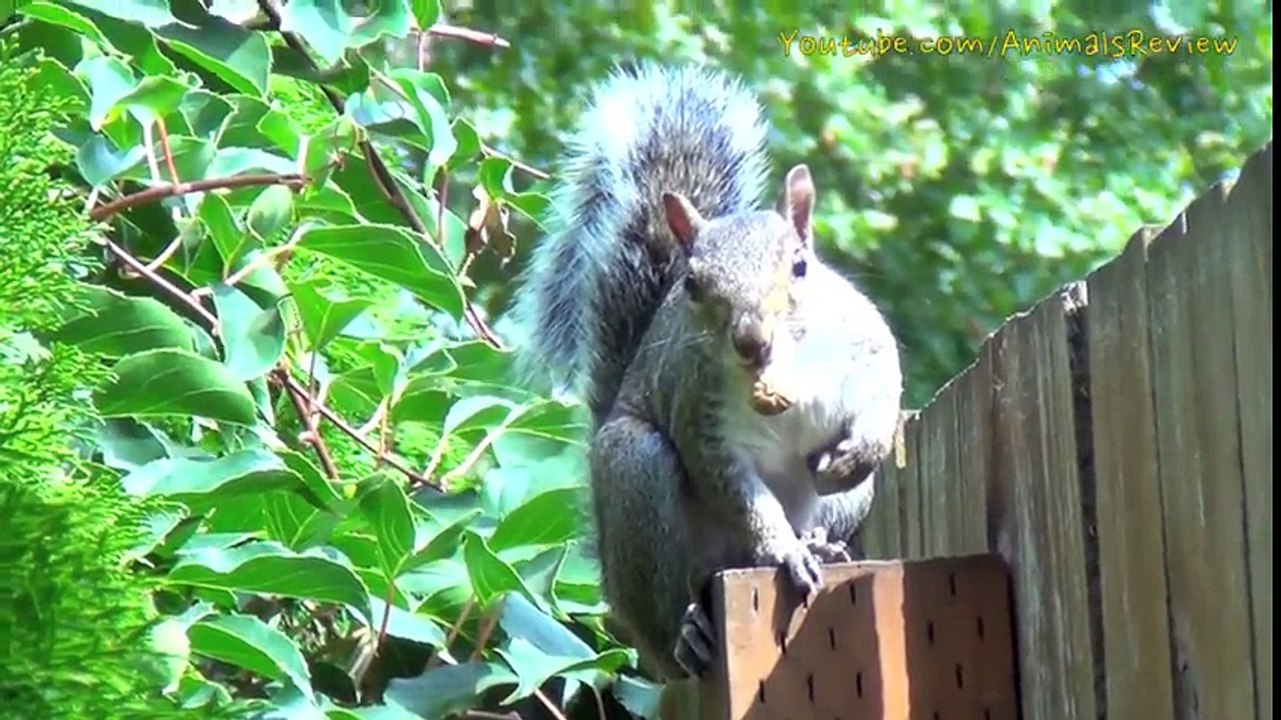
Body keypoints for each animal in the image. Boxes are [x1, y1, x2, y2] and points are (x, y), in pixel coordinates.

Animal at [510, 62, 903, 680]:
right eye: (692, 285)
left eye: (800, 267)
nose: (751, 341)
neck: (790, 369)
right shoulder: (700, 415)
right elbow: (737, 491)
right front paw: (783, 549)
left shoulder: (864, 342)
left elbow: (885, 390)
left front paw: (856, 453)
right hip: (636, 472)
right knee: (666, 605)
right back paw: (689, 632)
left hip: (846, 506)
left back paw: (820, 542)